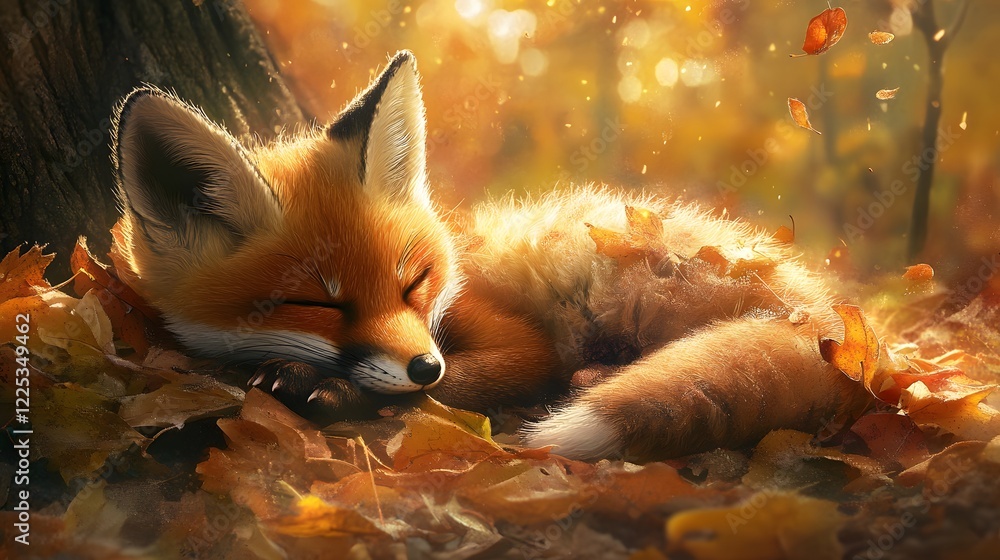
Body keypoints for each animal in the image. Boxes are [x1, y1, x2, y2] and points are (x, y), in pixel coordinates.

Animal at [110, 51, 872, 461]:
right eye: (315, 303)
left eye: (414, 283)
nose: (423, 361)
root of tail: (823, 311)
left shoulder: (517, 344)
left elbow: (444, 390)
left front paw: (329, 389)